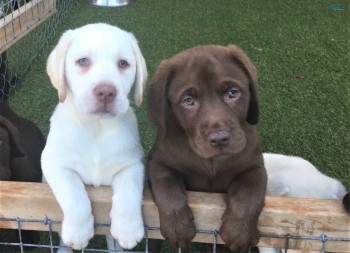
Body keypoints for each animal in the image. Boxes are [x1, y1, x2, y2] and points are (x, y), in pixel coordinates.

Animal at [41, 23, 148, 251]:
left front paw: (128, 229)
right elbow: (74, 195)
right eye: (83, 61)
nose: (106, 92)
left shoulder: (132, 164)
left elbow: (129, 191)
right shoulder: (53, 164)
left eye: (123, 63)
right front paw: (78, 233)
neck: (96, 127)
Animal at [148, 44, 268, 252]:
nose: (219, 139)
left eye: (233, 93)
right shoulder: (157, 161)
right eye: (188, 101)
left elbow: (251, 192)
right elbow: (165, 184)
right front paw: (178, 227)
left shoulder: (254, 166)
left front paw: (238, 232)